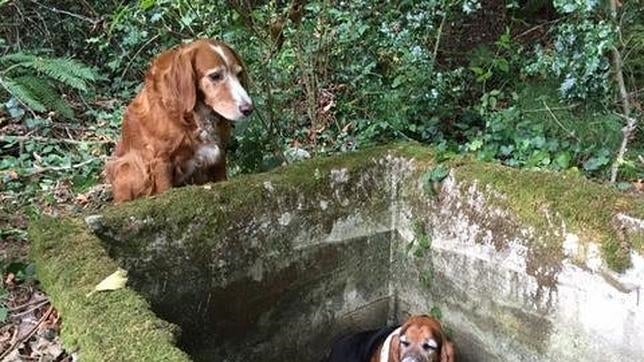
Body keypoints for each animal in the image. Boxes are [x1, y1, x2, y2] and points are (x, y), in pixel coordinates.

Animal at [105, 40, 252, 204]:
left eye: (239, 74)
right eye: (215, 76)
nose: (249, 109)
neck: (193, 116)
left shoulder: (219, 155)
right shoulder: (161, 162)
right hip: (128, 165)